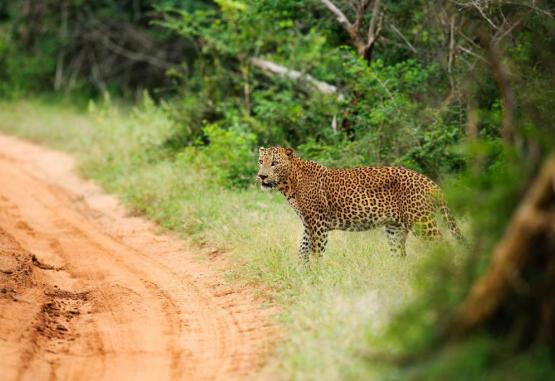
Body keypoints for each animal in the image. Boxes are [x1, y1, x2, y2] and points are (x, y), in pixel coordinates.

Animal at [258, 145, 462, 262]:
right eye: (261, 161)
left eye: (274, 163)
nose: (262, 176)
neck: (289, 183)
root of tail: (429, 182)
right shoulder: (309, 224)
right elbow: (302, 249)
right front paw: (302, 274)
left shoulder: (318, 223)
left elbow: (317, 252)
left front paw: (316, 276)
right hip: (395, 229)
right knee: (400, 254)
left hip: (421, 222)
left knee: (444, 244)